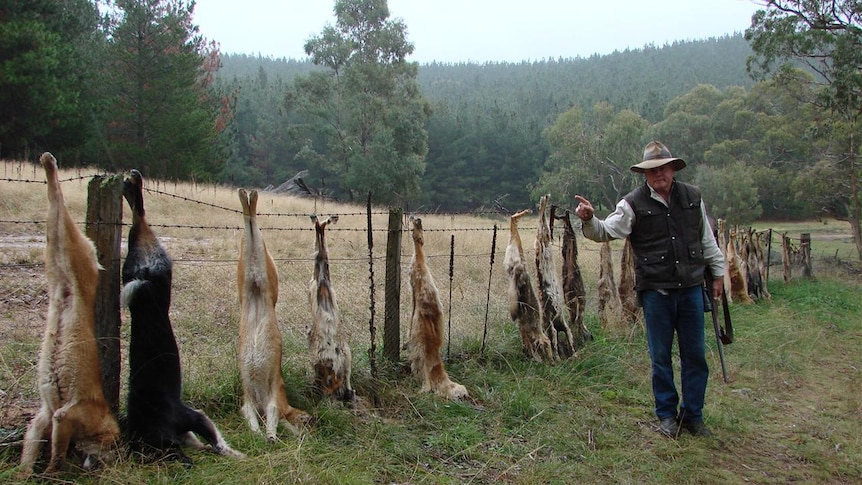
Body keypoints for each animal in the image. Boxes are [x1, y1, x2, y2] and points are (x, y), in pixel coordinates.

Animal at [19, 153, 121, 474]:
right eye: (113, 447)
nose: (102, 465)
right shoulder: (64, 415)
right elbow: (57, 457)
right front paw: (53, 474)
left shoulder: (44, 417)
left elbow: (30, 456)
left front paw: (24, 475)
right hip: (78, 253)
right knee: (58, 201)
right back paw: (49, 163)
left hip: (55, 253)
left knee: (54, 209)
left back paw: (46, 163)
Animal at [120, 169, 243, 462]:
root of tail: (142, 276)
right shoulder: (190, 420)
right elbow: (210, 440)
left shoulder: (191, 416)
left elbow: (215, 439)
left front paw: (233, 453)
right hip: (154, 267)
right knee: (138, 225)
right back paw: (131, 185)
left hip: (152, 265)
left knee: (139, 221)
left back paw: (131, 185)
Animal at [238, 187, 312, 436]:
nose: (311, 418)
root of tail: (257, 295)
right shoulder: (269, 403)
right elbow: (269, 418)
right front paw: (267, 435)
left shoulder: (251, 404)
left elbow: (255, 417)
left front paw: (260, 434)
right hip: (268, 276)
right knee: (254, 228)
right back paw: (250, 197)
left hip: (248, 274)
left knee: (251, 225)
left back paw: (247, 197)